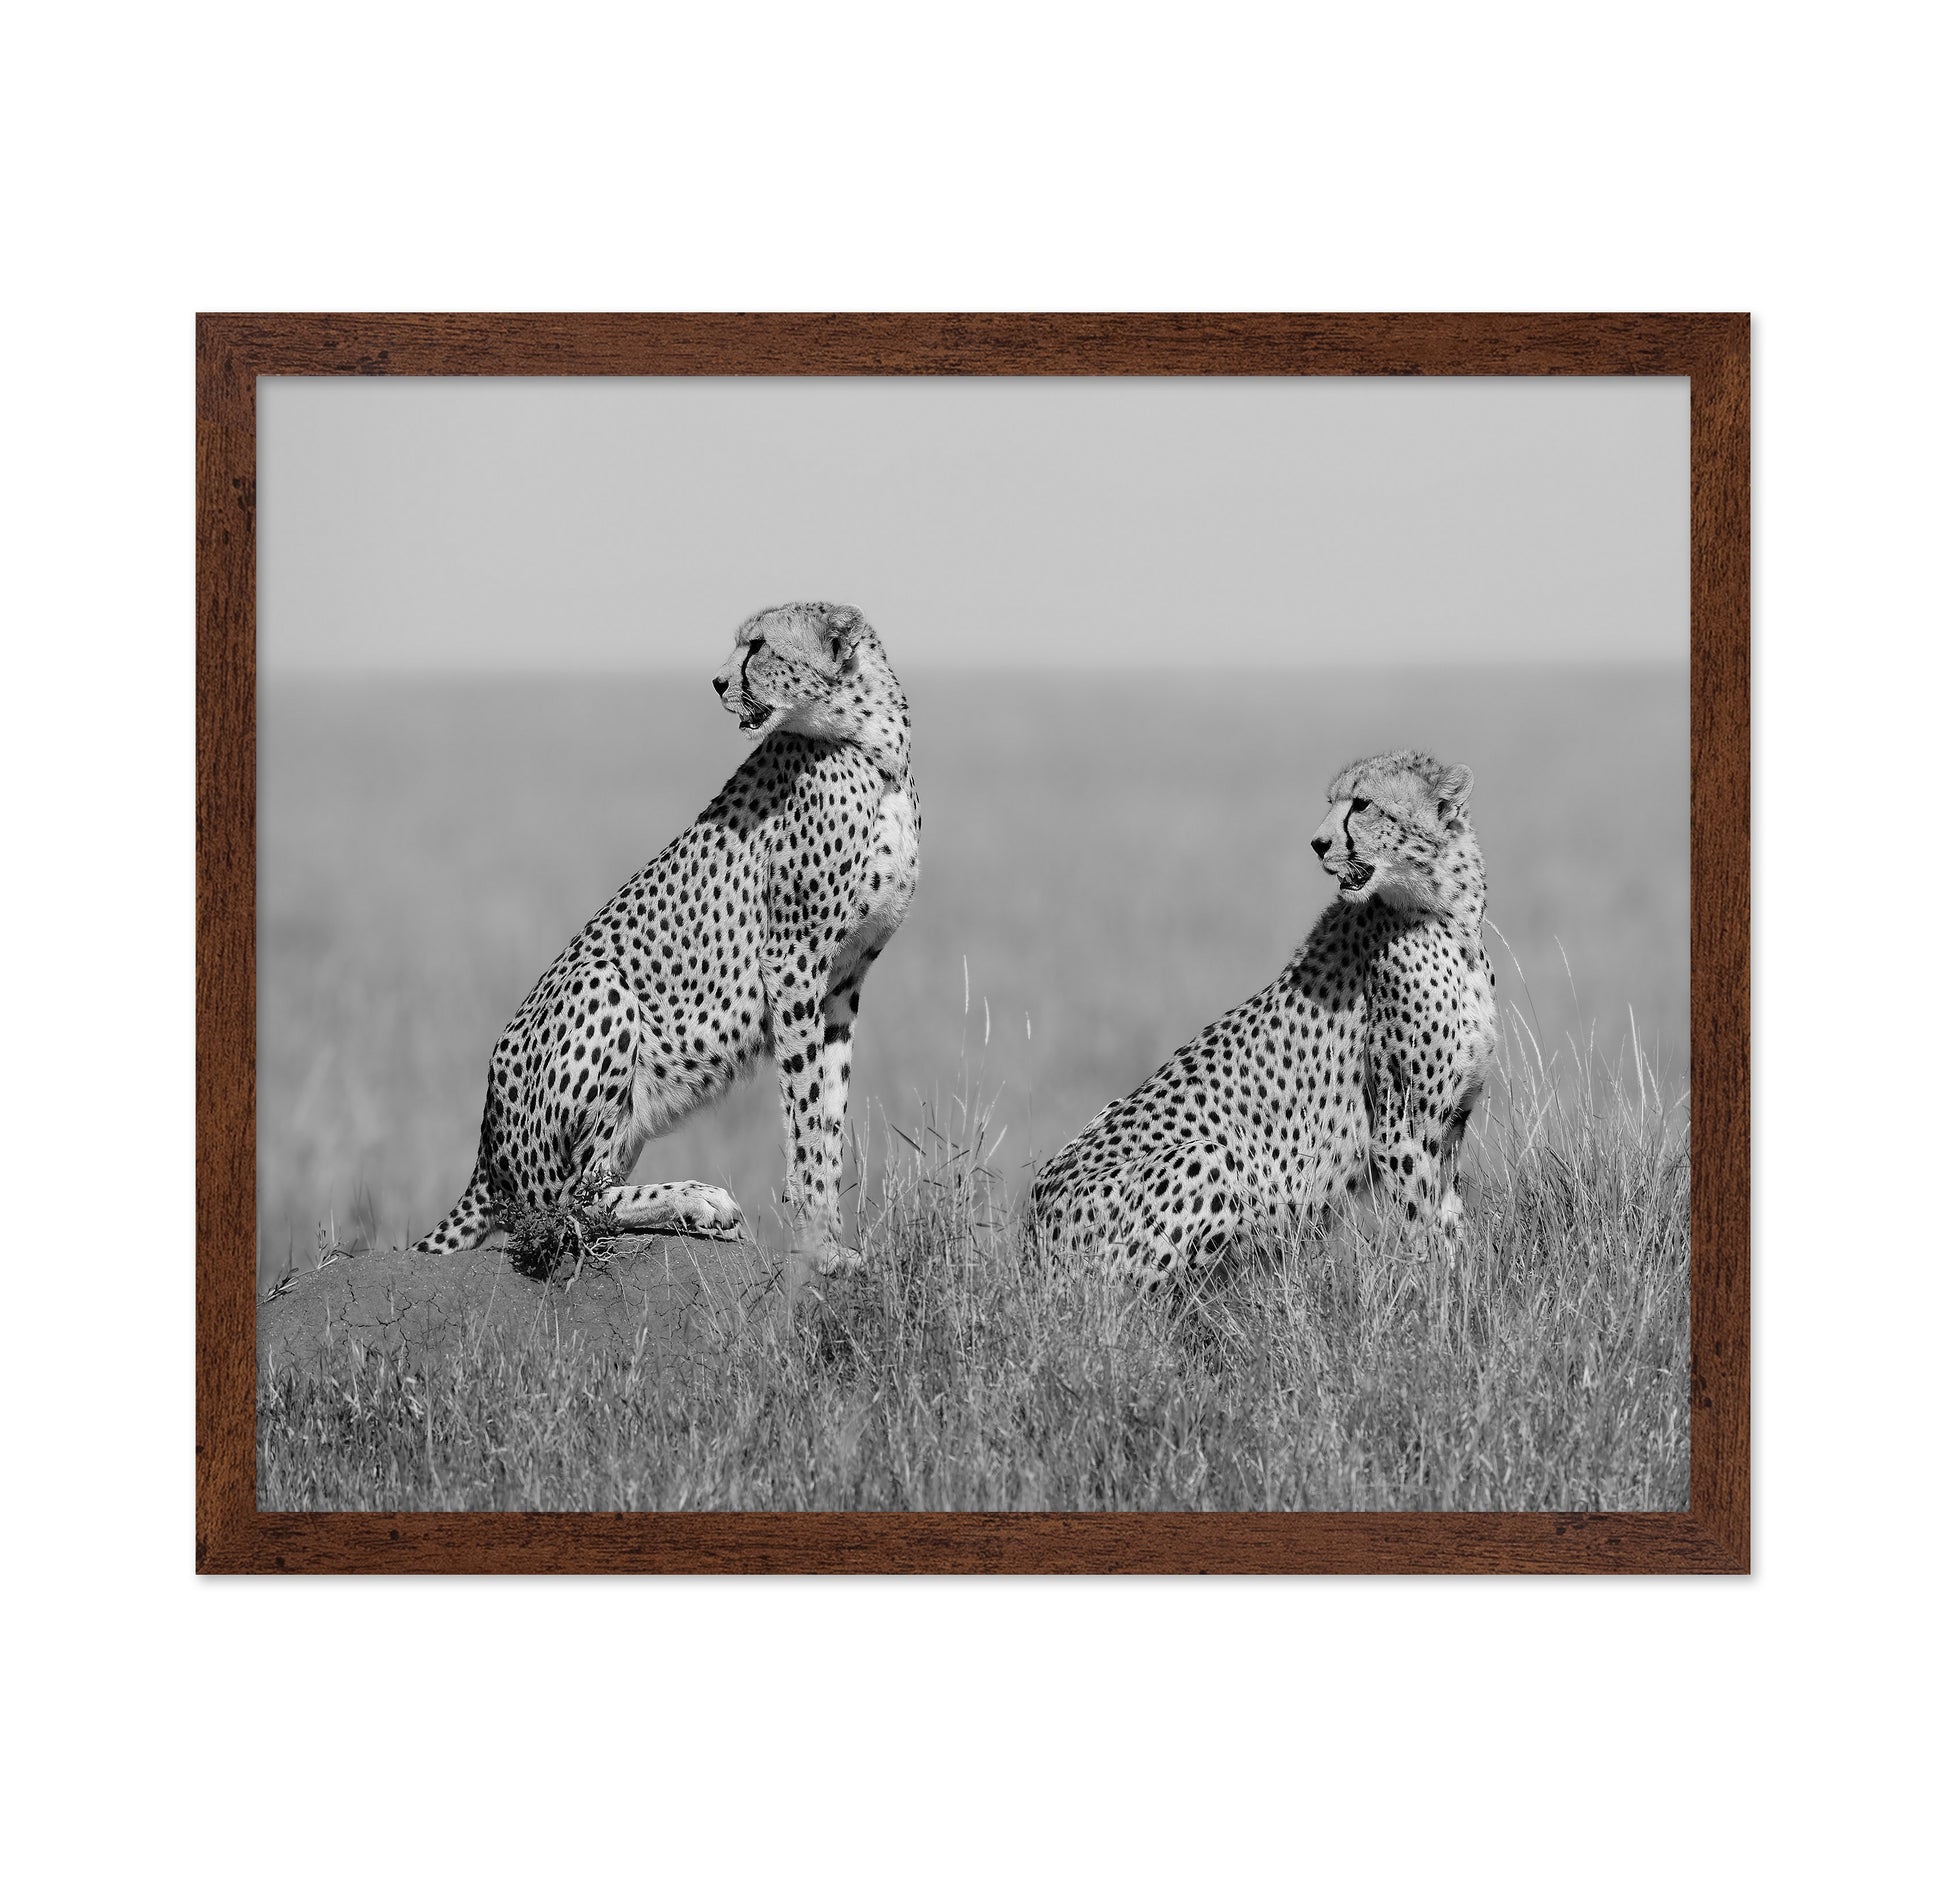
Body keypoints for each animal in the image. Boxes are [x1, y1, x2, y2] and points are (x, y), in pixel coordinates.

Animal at [411, 602, 920, 1292]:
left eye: (759, 646)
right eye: (742, 643)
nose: (717, 682)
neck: (873, 745)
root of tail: (486, 1145)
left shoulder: (842, 981)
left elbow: (828, 1113)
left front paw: (833, 1243)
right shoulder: (792, 961)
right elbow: (806, 1113)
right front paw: (818, 1247)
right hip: (601, 985)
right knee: (563, 1207)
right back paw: (698, 1200)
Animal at [1027, 749, 1496, 1285]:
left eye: (1362, 804)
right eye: (1332, 803)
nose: (1318, 843)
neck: (1448, 914)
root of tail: (1031, 1235)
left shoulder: (1451, 1124)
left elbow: (1449, 1219)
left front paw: (1462, 1286)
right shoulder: (1403, 1130)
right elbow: (1423, 1228)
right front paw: (1435, 1292)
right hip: (1204, 1159)